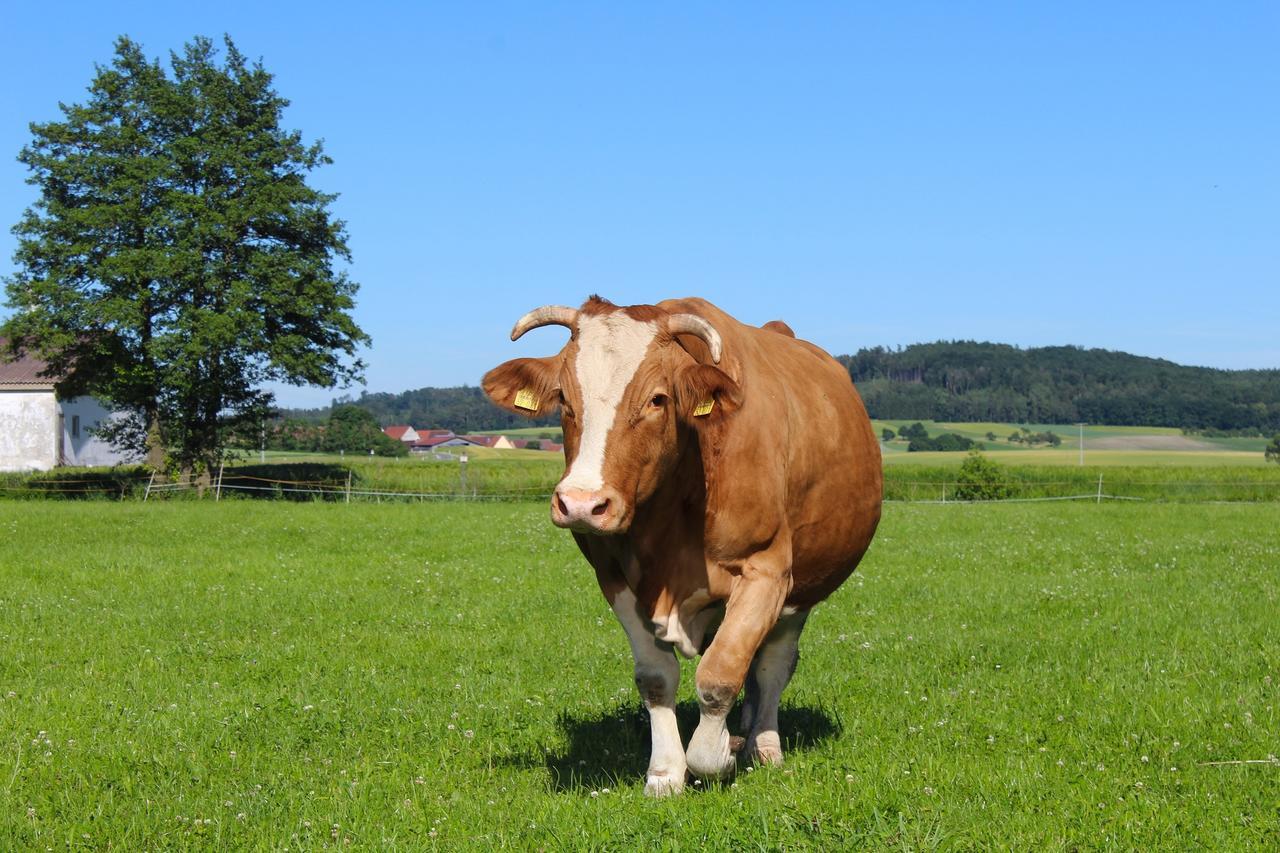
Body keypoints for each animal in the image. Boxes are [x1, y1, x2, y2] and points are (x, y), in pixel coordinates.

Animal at [481, 295, 880, 794]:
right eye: (565, 400)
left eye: (657, 398)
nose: (581, 503)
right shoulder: (613, 577)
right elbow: (656, 678)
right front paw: (666, 772)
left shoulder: (766, 571)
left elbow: (720, 673)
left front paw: (719, 755)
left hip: (803, 589)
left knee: (773, 664)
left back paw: (762, 743)